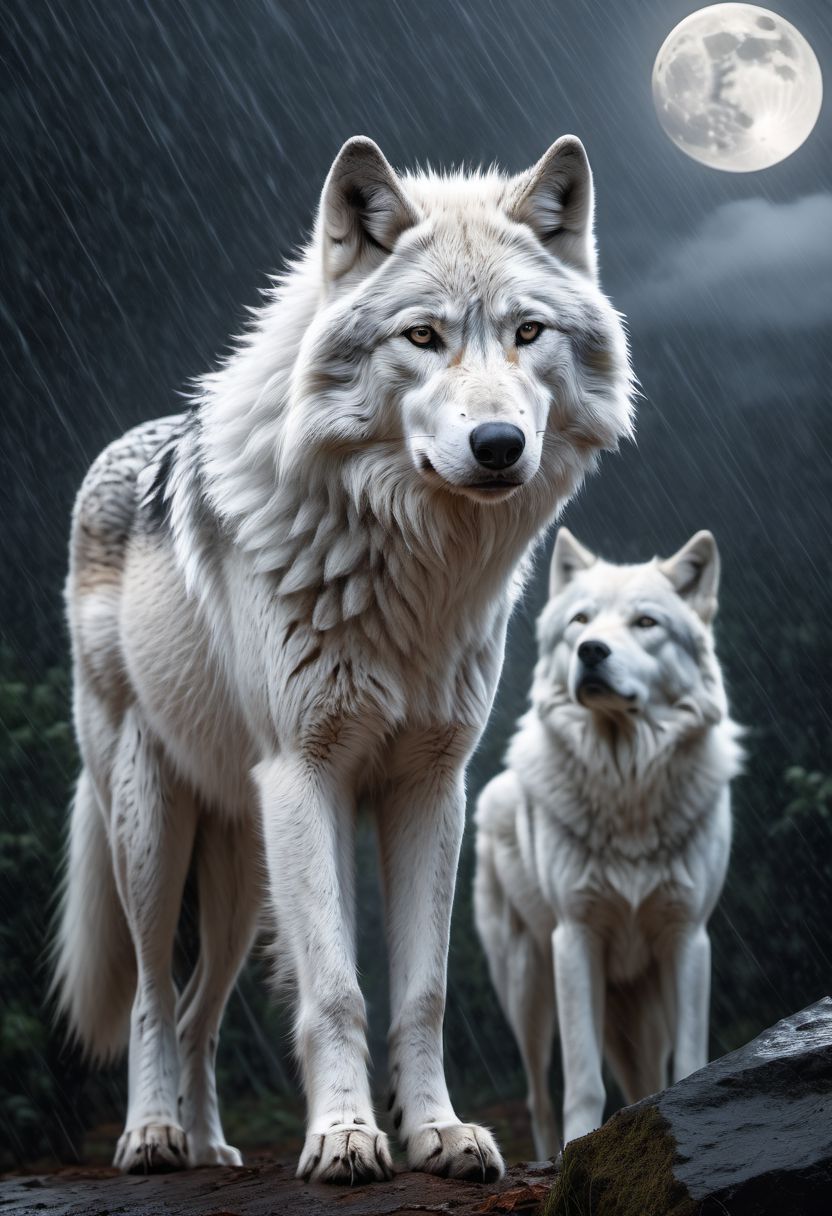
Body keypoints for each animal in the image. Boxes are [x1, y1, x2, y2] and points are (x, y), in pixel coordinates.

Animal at [52, 135, 634, 1184]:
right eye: (422, 336)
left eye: (528, 332)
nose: (499, 444)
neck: (410, 567)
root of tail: (121, 449)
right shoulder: (308, 773)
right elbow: (336, 991)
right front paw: (346, 1138)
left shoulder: (428, 785)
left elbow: (421, 993)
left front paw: (438, 1134)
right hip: (151, 825)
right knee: (156, 994)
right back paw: (155, 1136)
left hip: (244, 868)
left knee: (199, 1012)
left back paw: (213, 1147)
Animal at [474, 528, 743, 1158]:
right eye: (580, 620)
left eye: (646, 622)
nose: (591, 650)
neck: (628, 791)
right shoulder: (576, 939)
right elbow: (582, 1081)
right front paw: (579, 1147)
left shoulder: (687, 938)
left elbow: (690, 1061)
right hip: (527, 987)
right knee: (538, 1097)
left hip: (637, 1009)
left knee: (644, 1077)